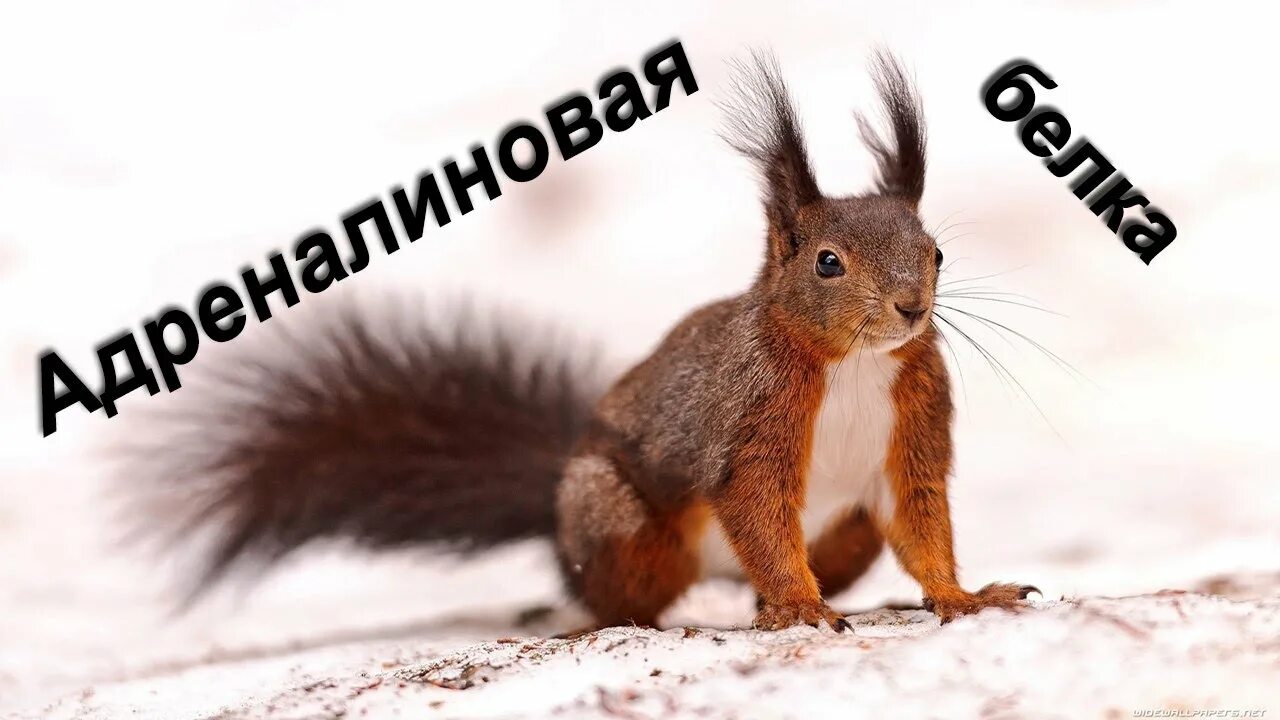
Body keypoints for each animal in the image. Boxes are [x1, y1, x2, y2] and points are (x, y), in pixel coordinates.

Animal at [130, 51, 1038, 632]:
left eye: (936, 253)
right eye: (827, 263)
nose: (911, 308)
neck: (851, 365)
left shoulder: (914, 422)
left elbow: (920, 519)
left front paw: (961, 597)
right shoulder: (749, 425)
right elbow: (757, 512)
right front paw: (802, 608)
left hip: (844, 533)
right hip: (619, 519)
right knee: (622, 595)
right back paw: (601, 615)